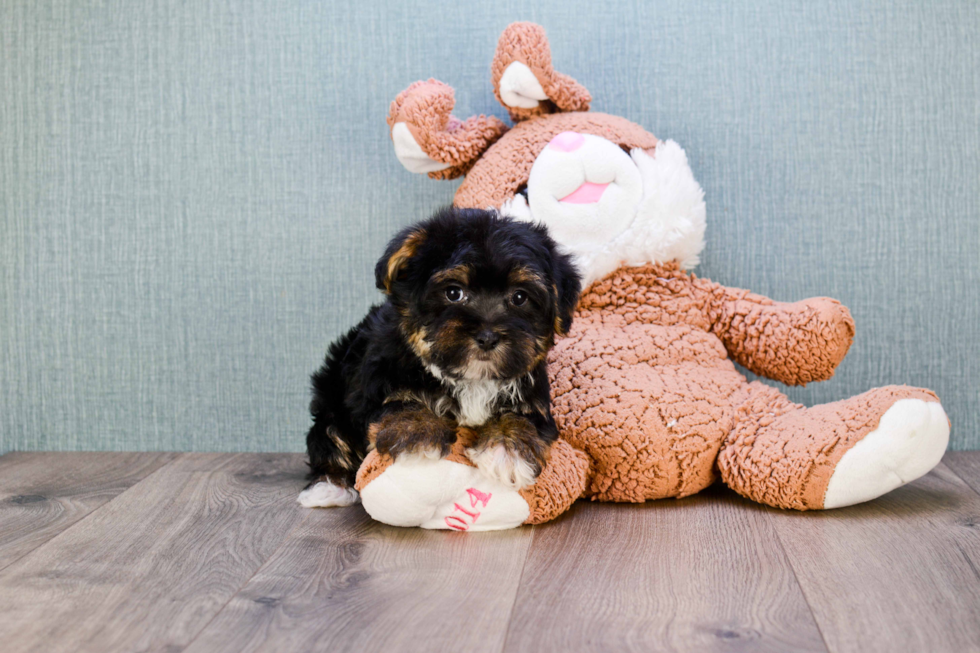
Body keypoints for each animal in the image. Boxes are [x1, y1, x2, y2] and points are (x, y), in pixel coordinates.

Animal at [294, 206, 580, 506]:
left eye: (520, 297)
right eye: (454, 292)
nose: (488, 337)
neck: (472, 380)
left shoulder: (533, 399)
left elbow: (521, 417)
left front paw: (507, 449)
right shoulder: (376, 384)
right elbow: (402, 400)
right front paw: (417, 433)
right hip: (332, 395)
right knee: (330, 436)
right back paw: (329, 486)